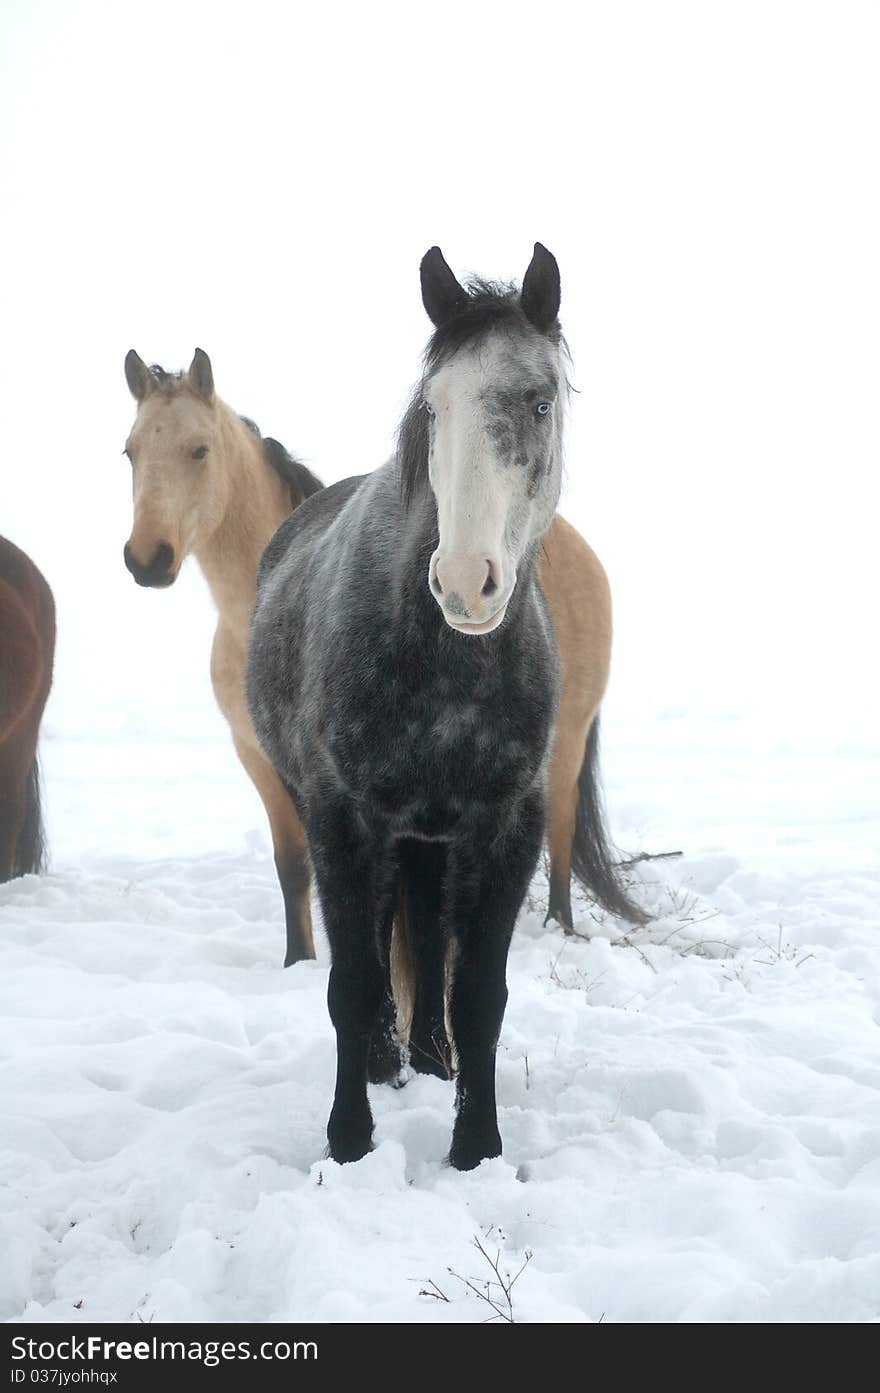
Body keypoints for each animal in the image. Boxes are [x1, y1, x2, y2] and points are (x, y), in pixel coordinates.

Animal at [247, 247, 646, 1164]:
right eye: (433, 406)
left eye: (539, 401)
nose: (465, 581)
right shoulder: (341, 819)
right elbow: (353, 982)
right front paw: (348, 1142)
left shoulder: (507, 825)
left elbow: (479, 993)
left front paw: (477, 1147)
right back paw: (389, 1063)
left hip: (430, 837)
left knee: (426, 937)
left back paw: (428, 1059)